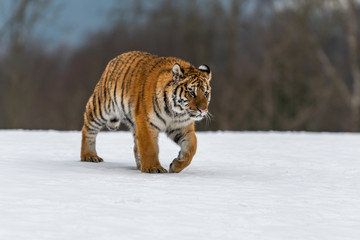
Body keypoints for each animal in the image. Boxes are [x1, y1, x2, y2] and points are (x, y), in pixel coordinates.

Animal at [80, 51, 212, 173]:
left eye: (206, 93)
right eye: (192, 93)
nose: (203, 109)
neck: (175, 112)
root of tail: (115, 59)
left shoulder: (182, 127)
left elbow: (192, 146)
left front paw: (176, 166)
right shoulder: (146, 122)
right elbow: (150, 147)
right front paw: (153, 168)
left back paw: (139, 166)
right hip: (102, 108)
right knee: (88, 129)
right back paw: (89, 156)